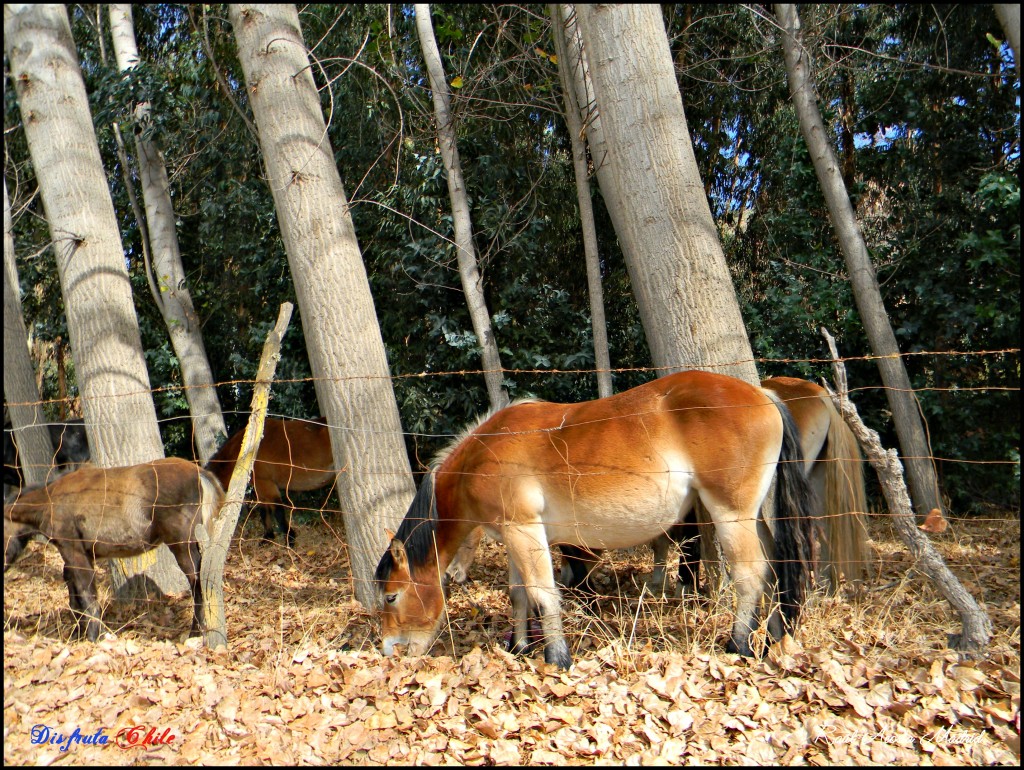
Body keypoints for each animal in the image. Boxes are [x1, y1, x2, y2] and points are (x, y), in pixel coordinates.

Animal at [3, 456, 224, 643]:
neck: (51, 500)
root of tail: (199, 472)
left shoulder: (74, 551)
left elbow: (86, 594)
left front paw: (93, 638)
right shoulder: (81, 555)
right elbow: (74, 596)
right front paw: (77, 635)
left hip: (181, 544)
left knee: (197, 581)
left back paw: (195, 633)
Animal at [204, 415, 335, 548]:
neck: (246, 453)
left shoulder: (266, 484)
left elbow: (278, 511)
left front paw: (290, 540)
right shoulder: (260, 487)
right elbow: (264, 511)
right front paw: (268, 537)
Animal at [376, 370, 815, 667]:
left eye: (391, 597)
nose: (389, 650)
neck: (483, 455)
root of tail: (763, 394)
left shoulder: (524, 532)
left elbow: (542, 593)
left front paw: (556, 658)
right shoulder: (515, 536)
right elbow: (519, 593)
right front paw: (519, 647)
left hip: (731, 515)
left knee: (750, 574)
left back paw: (738, 645)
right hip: (752, 517)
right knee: (775, 569)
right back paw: (774, 638)